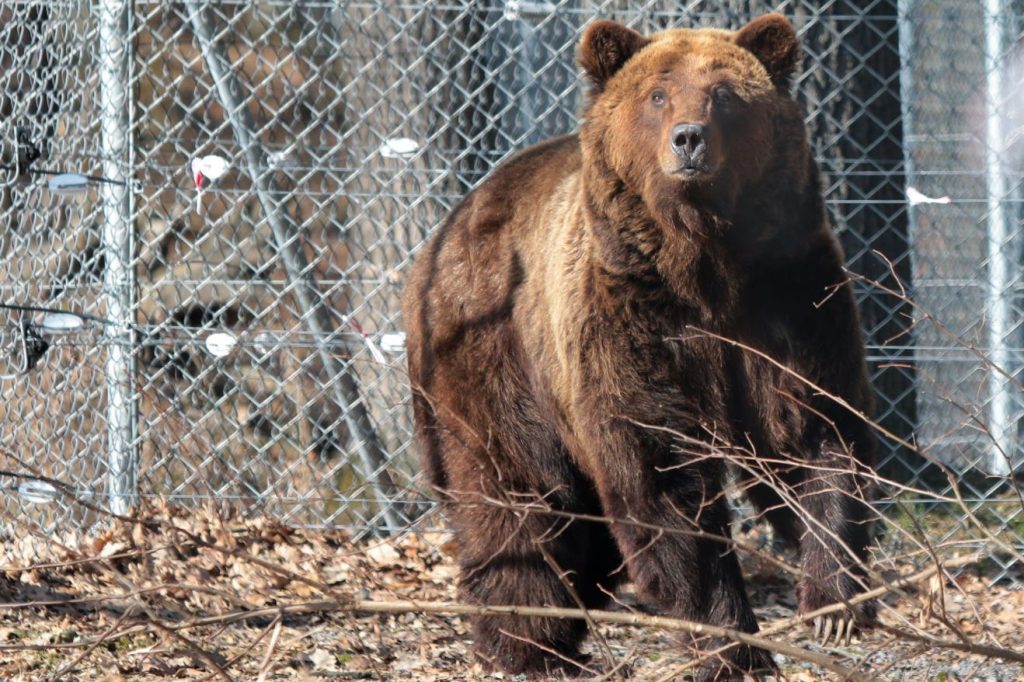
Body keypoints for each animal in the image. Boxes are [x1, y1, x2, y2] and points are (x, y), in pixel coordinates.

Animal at [399, 13, 872, 675]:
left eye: (725, 94)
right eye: (657, 94)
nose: (689, 139)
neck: (703, 265)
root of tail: (454, 218)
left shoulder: (787, 296)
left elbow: (813, 427)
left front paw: (833, 605)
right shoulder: (629, 314)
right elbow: (661, 467)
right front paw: (731, 642)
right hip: (492, 350)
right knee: (516, 493)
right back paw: (528, 641)